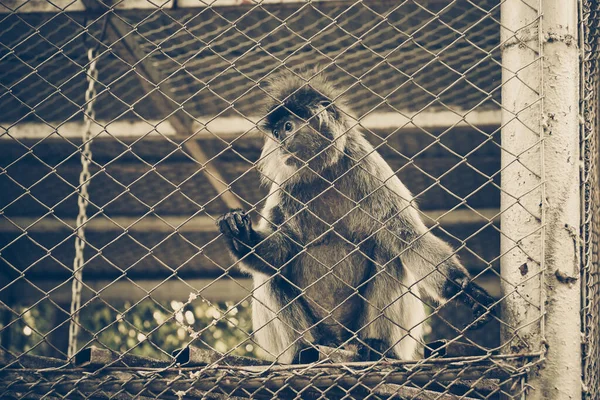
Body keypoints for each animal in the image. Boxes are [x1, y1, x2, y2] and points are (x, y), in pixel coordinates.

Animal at [217, 70, 496, 364]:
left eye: (288, 127)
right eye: (275, 132)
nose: (280, 143)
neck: (324, 174)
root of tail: (340, 342)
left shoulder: (367, 166)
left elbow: (409, 238)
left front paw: (465, 291)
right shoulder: (285, 186)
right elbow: (283, 251)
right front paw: (243, 236)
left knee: (389, 252)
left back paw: (376, 346)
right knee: (272, 274)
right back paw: (305, 351)